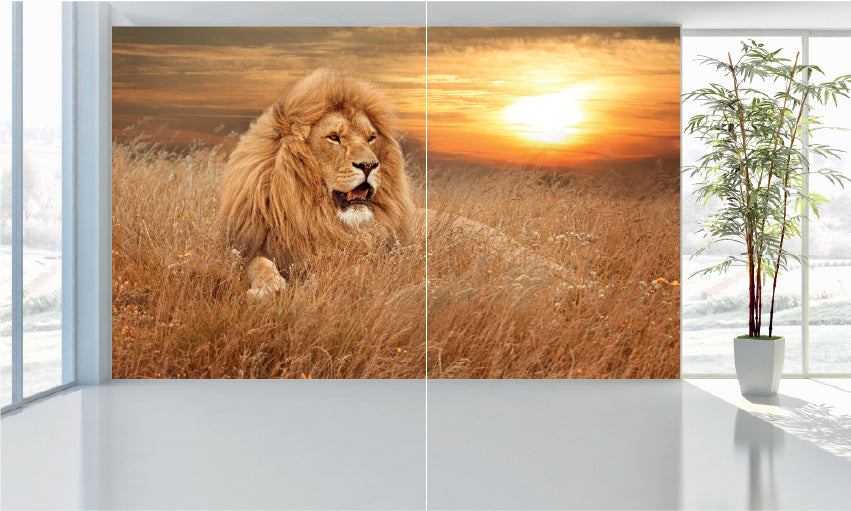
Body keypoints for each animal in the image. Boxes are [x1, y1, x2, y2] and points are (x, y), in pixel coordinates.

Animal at [219, 68, 416, 298]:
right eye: (333, 137)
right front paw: (269, 287)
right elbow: (259, 262)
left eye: (371, 138)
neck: (317, 216)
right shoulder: (245, 248)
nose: (369, 165)